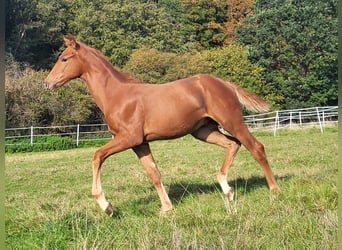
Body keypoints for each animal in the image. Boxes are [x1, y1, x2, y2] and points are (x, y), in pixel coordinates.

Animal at [44, 33, 280, 217]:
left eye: (64, 59)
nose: (47, 83)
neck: (117, 95)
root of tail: (226, 84)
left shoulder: (128, 138)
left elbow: (97, 156)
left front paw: (106, 206)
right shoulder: (139, 143)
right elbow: (154, 173)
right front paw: (167, 208)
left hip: (232, 121)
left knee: (256, 147)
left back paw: (274, 190)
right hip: (204, 130)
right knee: (233, 145)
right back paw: (227, 189)